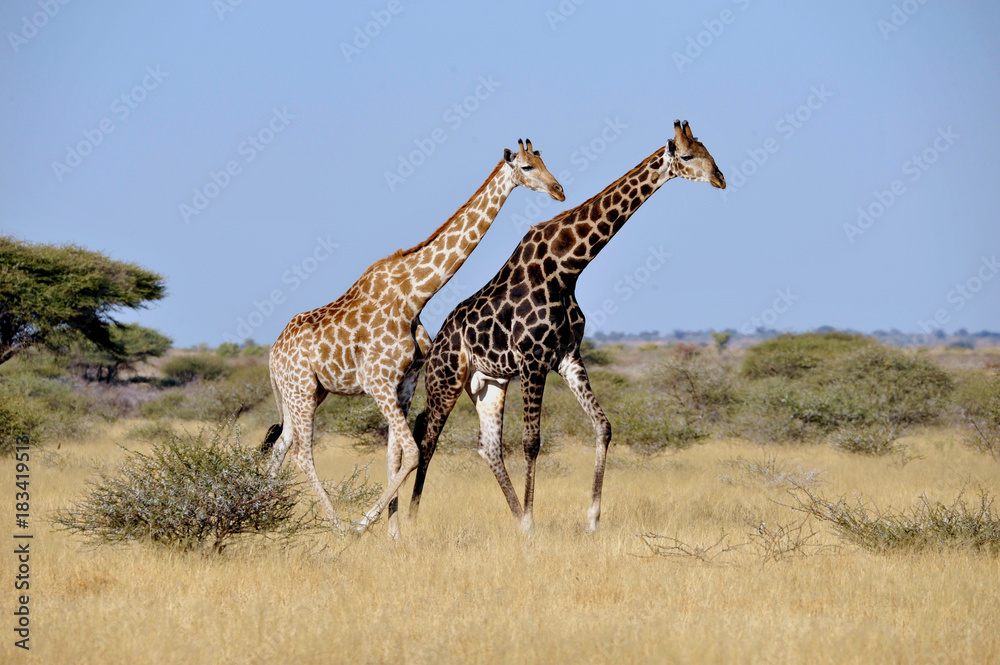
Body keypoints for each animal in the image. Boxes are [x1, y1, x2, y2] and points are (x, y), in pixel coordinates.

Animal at [263, 139, 565, 539]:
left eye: (544, 161)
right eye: (527, 167)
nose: (559, 190)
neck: (415, 295)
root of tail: (272, 354)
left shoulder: (404, 383)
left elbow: (396, 454)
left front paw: (393, 534)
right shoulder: (377, 383)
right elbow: (413, 452)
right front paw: (364, 525)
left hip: (310, 391)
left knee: (281, 446)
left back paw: (264, 516)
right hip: (301, 390)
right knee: (300, 452)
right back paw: (339, 526)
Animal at [408, 120, 724, 531]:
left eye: (708, 152)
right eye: (687, 156)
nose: (720, 179)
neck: (566, 268)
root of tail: (434, 345)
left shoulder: (567, 356)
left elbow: (603, 426)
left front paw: (591, 518)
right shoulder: (532, 360)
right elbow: (531, 441)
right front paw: (531, 523)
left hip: (488, 382)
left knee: (487, 446)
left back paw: (511, 515)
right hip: (445, 381)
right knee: (428, 439)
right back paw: (409, 520)